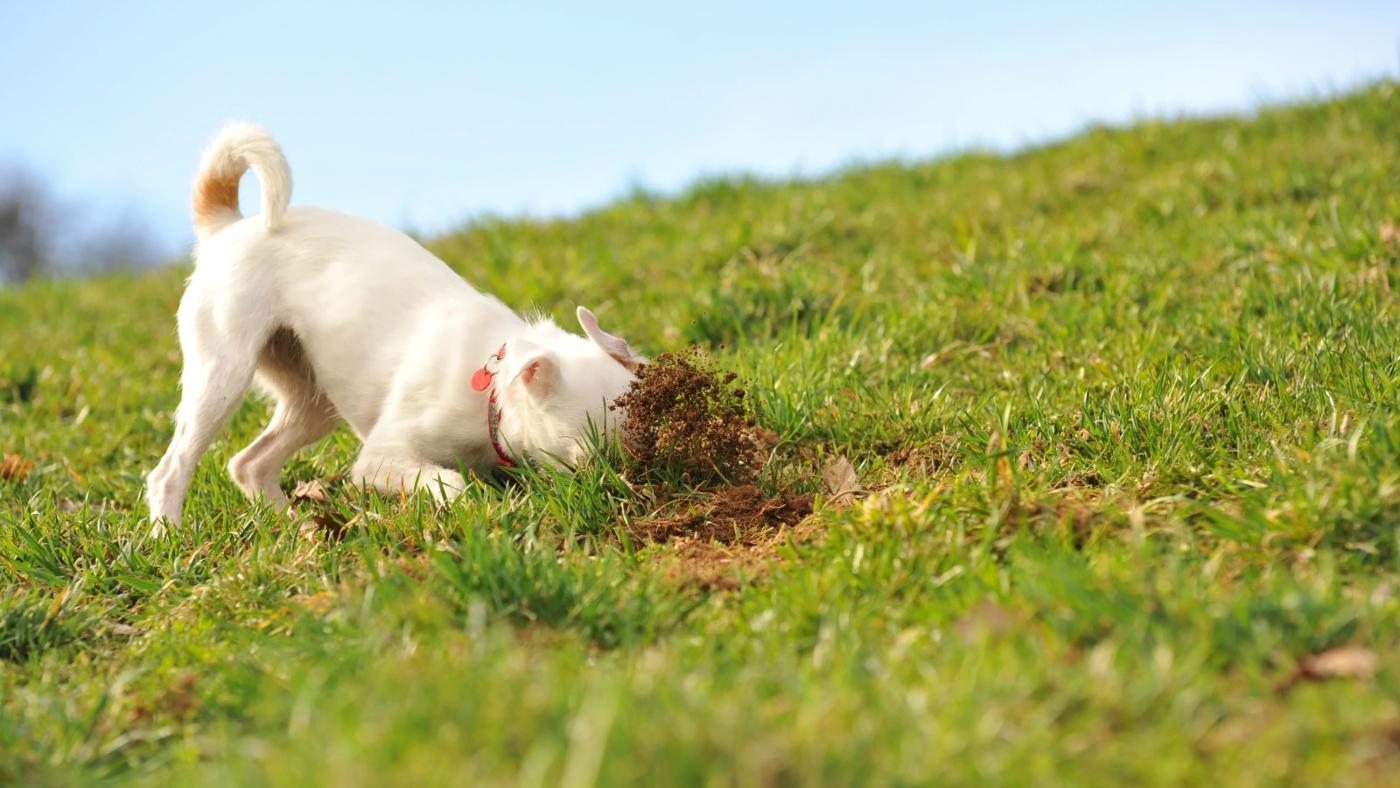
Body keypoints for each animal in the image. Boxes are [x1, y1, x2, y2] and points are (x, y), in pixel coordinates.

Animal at [146, 121, 641, 529]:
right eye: (585, 458)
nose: (629, 487)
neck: (492, 397)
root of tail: (228, 226)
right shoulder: (378, 460)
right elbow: (451, 482)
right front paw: (470, 507)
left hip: (312, 400)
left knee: (249, 464)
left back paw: (293, 525)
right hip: (222, 377)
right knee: (170, 471)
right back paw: (169, 535)